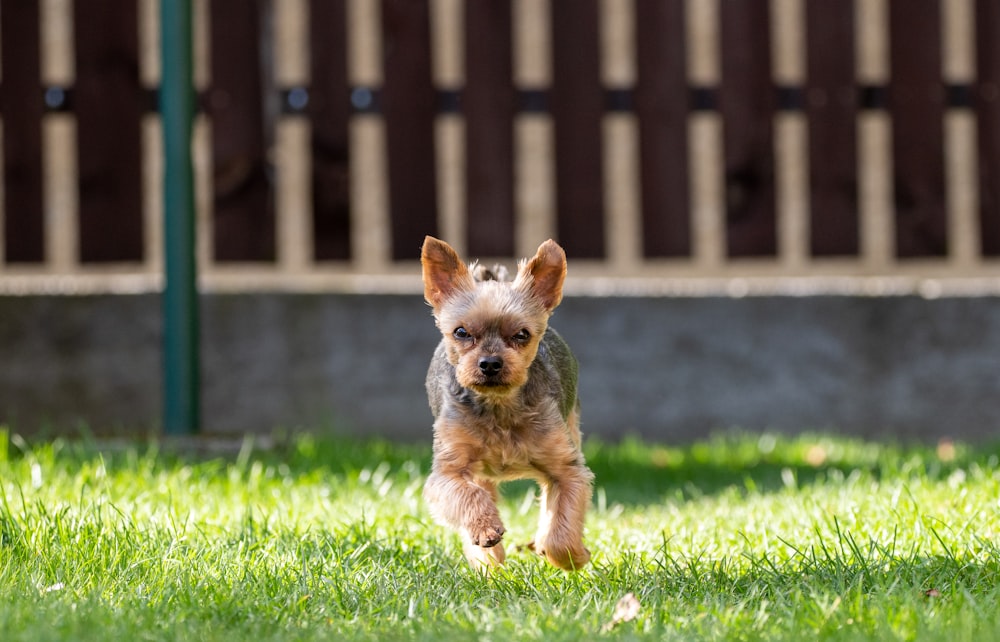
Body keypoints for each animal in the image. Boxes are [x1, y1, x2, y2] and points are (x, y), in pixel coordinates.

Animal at [416, 236, 588, 568]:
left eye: (522, 335)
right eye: (461, 332)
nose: (490, 363)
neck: (498, 407)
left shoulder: (567, 470)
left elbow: (559, 533)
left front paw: (573, 556)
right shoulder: (447, 473)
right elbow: (466, 495)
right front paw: (484, 530)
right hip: (479, 474)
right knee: (481, 494)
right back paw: (487, 561)